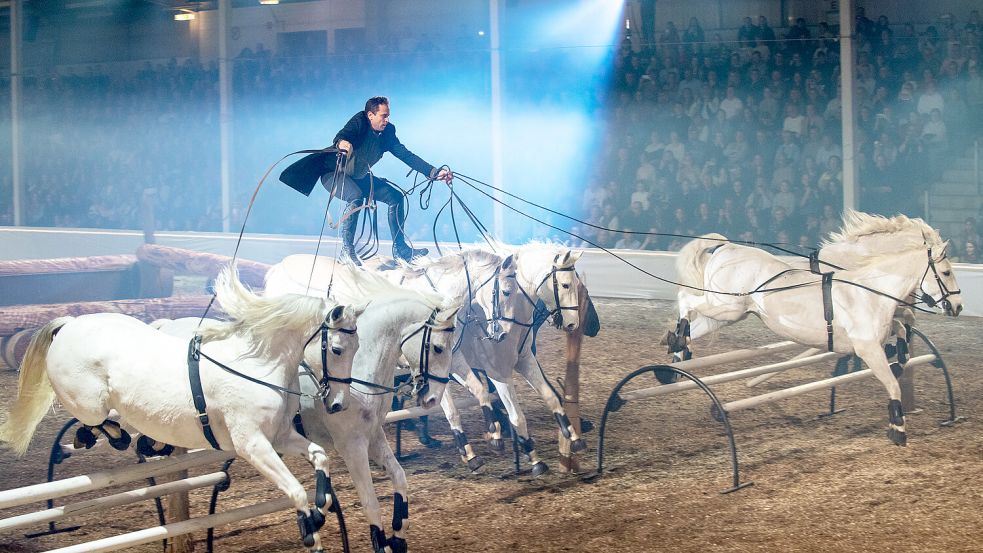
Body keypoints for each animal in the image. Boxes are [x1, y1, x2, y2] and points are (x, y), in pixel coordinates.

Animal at [0, 268, 362, 552]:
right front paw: (310, 530)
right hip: (90, 401)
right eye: (337, 349)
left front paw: (320, 508)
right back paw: (111, 438)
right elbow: (295, 489)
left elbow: (320, 456)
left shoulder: (280, 436)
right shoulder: (253, 445)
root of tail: (70, 324)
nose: (337, 403)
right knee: (94, 421)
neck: (258, 364)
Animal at [262, 258, 462, 552]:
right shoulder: (352, 446)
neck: (356, 378)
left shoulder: (374, 436)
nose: (433, 398)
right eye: (437, 347)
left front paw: (398, 535)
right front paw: (381, 542)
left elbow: (399, 477)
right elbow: (370, 502)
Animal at [672, 221, 964, 444]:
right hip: (726, 308)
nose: (958, 307)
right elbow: (892, 381)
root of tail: (725, 247)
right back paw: (676, 345)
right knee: (685, 299)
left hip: (726, 314)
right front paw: (898, 430)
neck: (867, 287)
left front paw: (896, 357)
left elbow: (903, 329)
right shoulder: (868, 346)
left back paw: (677, 354)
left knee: (692, 323)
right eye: (946, 272)